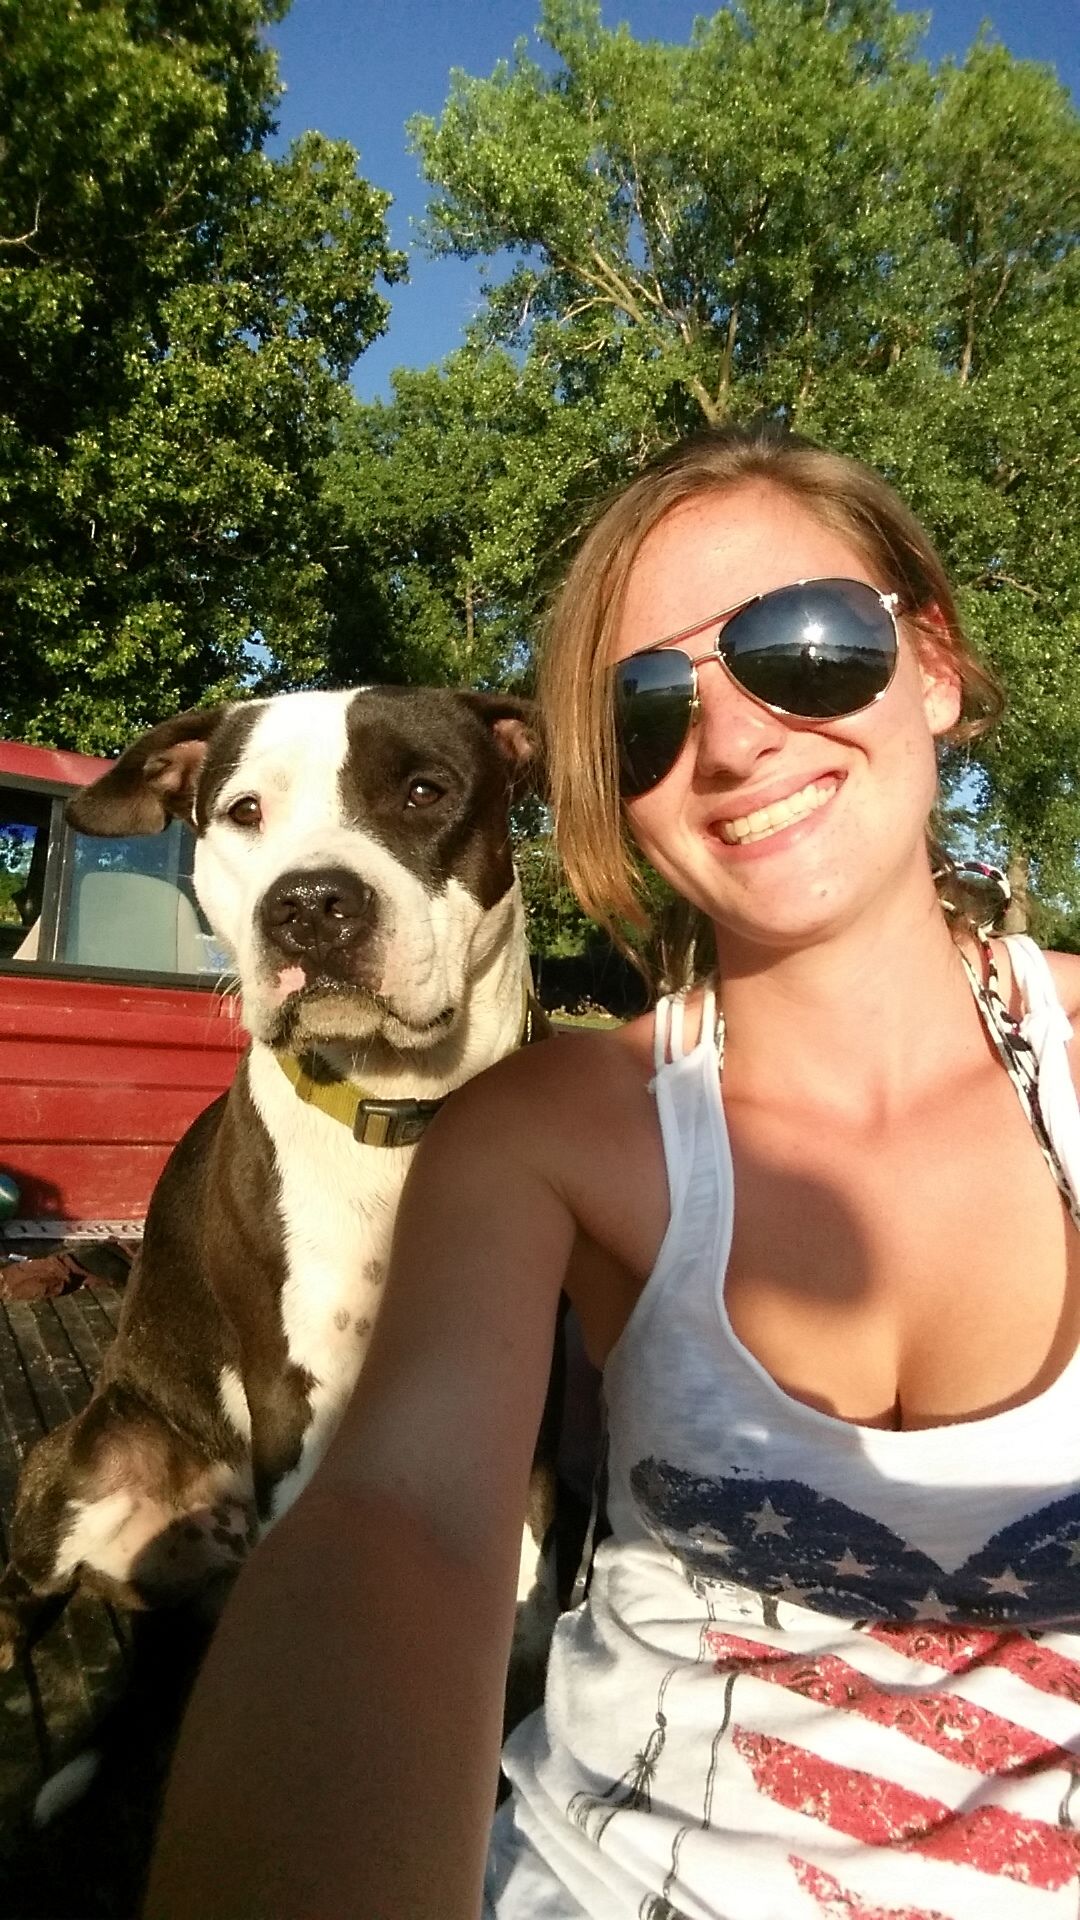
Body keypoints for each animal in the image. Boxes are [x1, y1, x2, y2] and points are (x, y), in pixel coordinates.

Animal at [0, 685, 558, 1661]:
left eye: (424, 790)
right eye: (243, 811)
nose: (311, 903)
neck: (403, 1111)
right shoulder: (299, 1395)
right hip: (82, 1457)